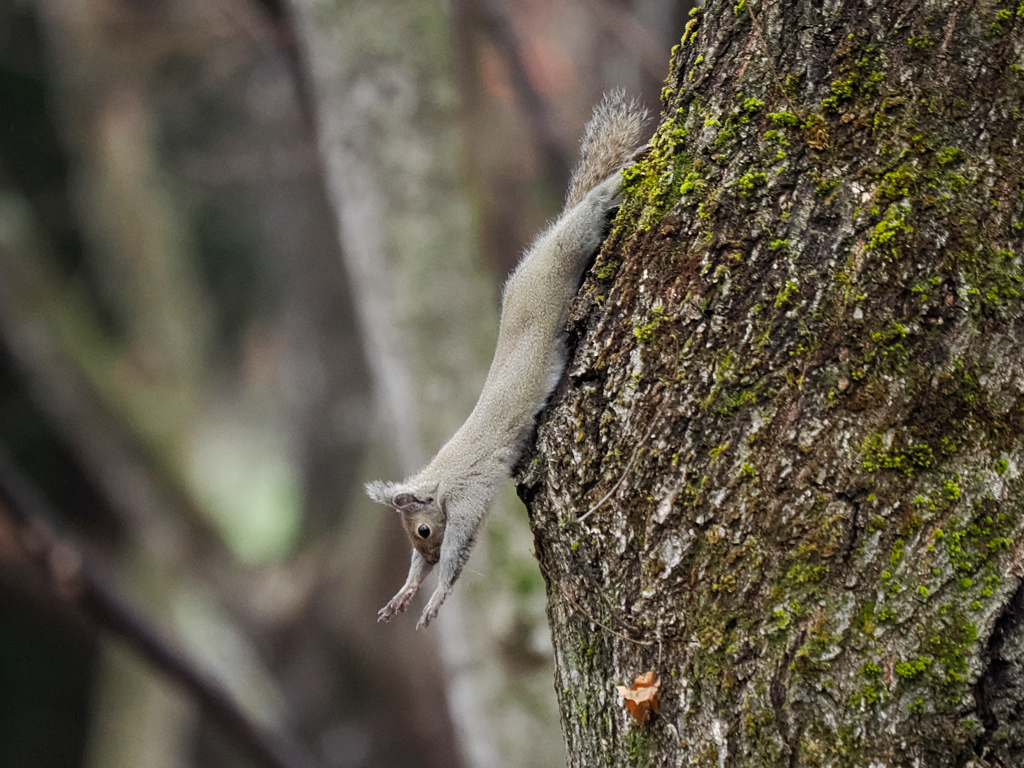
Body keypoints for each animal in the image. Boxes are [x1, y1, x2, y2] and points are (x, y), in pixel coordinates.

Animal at [364, 93, 643, 626]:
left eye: (423, 530)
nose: (426, 554)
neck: (440, 477)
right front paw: (406, 591)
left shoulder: (467, 498)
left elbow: (460, 552)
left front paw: (435, 596)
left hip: (564, 252)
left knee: (587, 213)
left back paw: (622, 178)